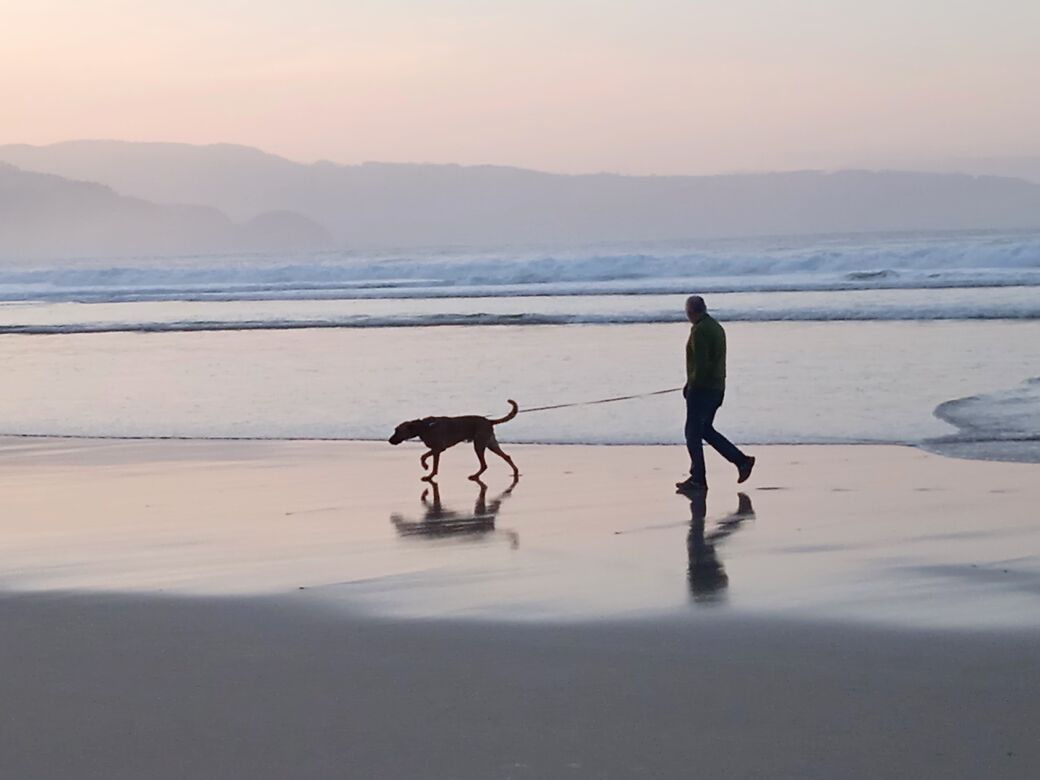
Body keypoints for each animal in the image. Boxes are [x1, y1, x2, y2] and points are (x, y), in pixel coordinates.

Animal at [386, 403, 520, 482]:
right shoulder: (437, 450)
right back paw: (515, 472)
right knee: (506, 457)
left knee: (484, 465)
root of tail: (489, 421)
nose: (389, 440)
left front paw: (427, 469)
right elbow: (431, 462)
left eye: (397, 431)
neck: (423, 427)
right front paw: (429, 472)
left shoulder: (439, 448)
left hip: (479, 445)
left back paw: (475, 475)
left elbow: (425, 458)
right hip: (490, 443)